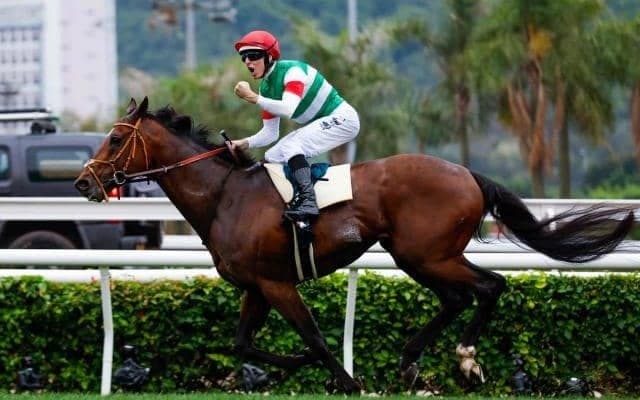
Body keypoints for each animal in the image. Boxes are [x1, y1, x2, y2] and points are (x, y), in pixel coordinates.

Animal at [74, 97, 634, 393]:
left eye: (116, 139)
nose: (83, 183)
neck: (224, 197)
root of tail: (468, 174)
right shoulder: (255, 287)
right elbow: (243, 343)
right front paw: (302, 367)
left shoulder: (277, 284)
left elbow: (316, 338)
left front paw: (345, 379)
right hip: (421, 256)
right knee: (460, 296)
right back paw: (412, 361)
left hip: (426, 253)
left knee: (489, 286)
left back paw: (466, 358)